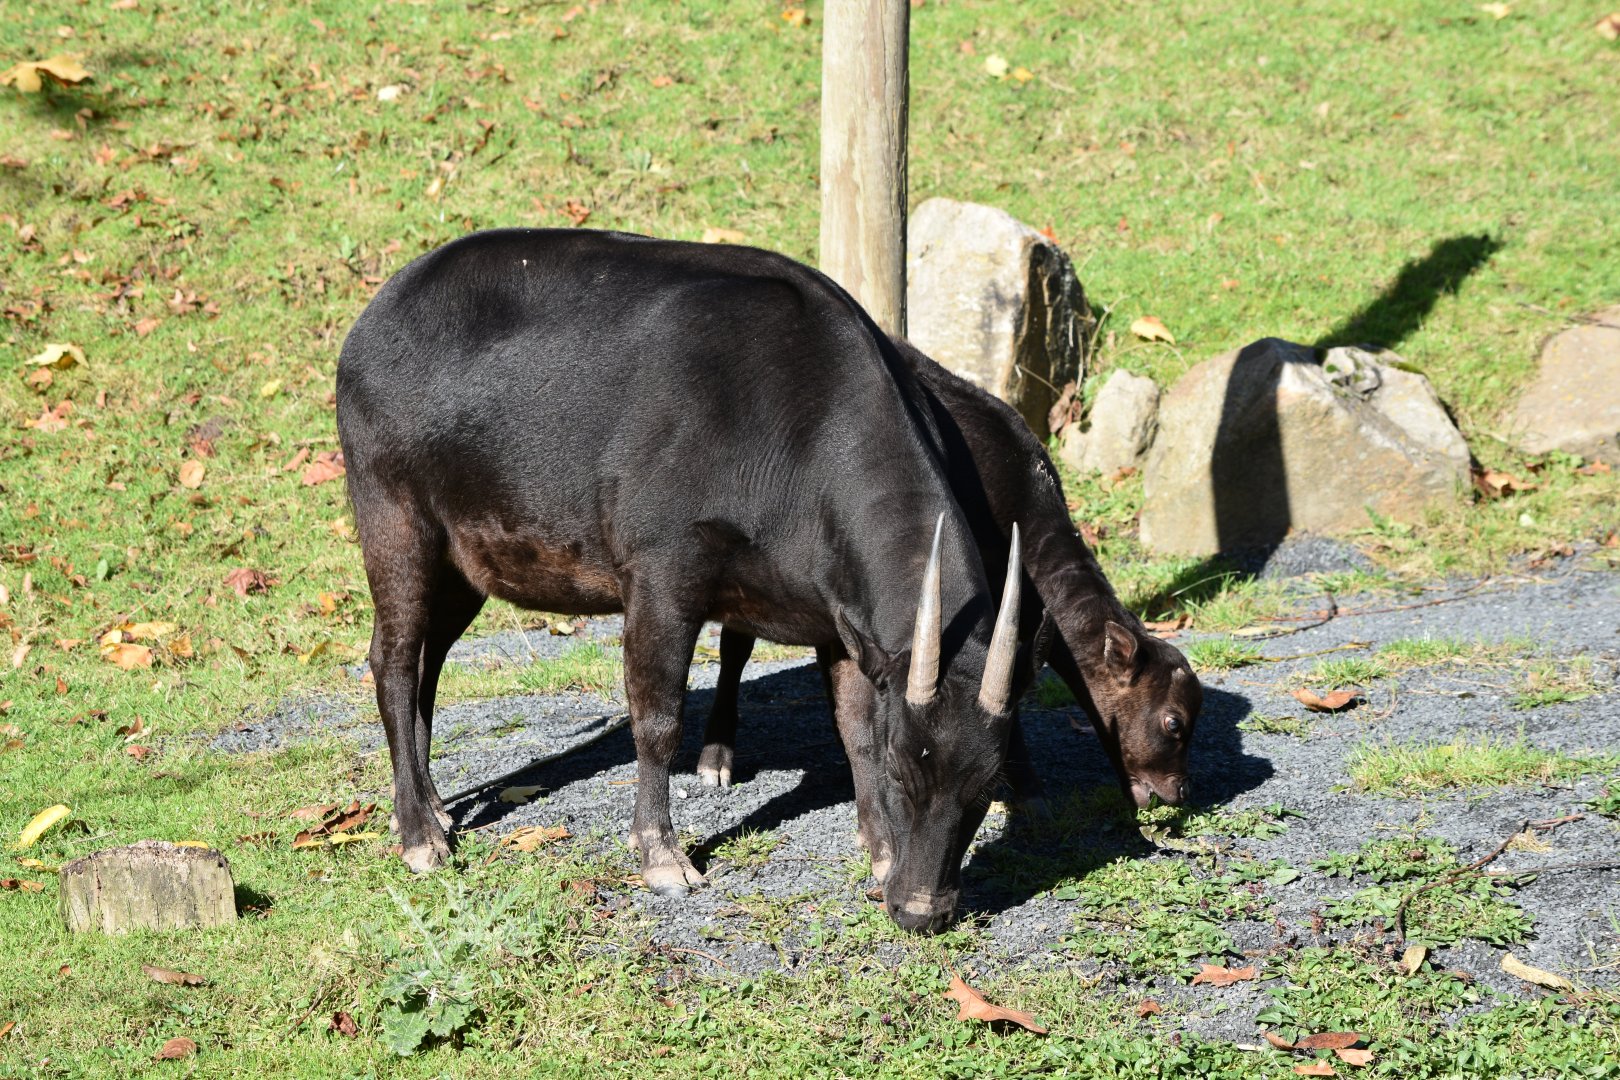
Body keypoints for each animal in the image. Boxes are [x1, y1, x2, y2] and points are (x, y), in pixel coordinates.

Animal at [335, 228, 1042, 933]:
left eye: (988, 785)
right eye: (904, 771)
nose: (922, 911)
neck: (794, 429)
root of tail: (377, 313)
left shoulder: (843, 624)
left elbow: (855, 728)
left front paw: (881, 852)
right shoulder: (660, 577)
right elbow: (658, 719)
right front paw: (663, 857)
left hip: (464, 562)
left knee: (428, 662)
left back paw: (431, 804)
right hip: (394, 516)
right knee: (392, 660)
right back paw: (420, 834)